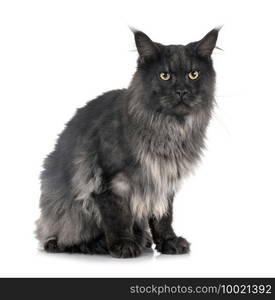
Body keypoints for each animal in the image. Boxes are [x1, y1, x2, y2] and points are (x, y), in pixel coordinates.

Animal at [35, 27, 220, 258]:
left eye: (193, 74)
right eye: (165, 76)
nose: (181, 91)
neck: (168, 128)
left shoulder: (164, 179)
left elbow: (163, 218)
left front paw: (168, 242)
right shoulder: (110, 183)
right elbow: (118, 217)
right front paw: (124, 244)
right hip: (68, 211)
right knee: (64, 238)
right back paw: (98, 244)